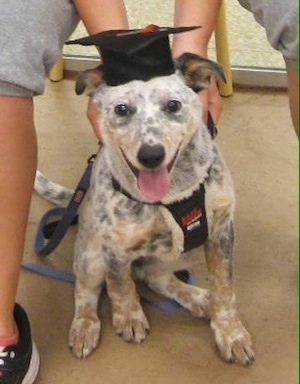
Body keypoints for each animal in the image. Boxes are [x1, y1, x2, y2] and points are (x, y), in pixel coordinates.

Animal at [35, 51, 255, 366]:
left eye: (173, 105)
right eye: (122, 109)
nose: (151, 155)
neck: (172, 195)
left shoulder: (221, 233)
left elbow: (224, 289)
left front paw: (231, 334)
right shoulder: (115, 247)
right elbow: (120, 285)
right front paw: (128, 316)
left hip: (174, 254)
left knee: (156, 277)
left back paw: (198, 298)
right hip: (91, 257)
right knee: (86, 289)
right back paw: (85, 326)